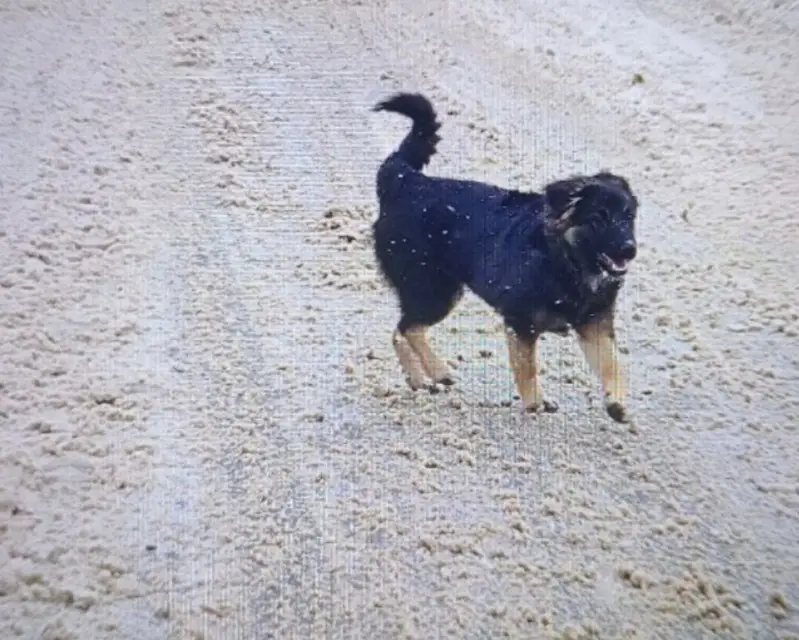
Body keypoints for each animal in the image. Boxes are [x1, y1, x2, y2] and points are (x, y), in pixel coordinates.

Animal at [371, 93, 639, 423]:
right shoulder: (520, 322)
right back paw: (438, 370)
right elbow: (527, 366)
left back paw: (420, 378)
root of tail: (407, 181)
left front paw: (616, 402)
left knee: (399, 331)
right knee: (409, 328)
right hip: (434, 289)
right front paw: (535, 401)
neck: (565, 262)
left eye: (628, 216)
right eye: (599, 218)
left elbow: (612, 363)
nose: (629, 249)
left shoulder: (594, 324)